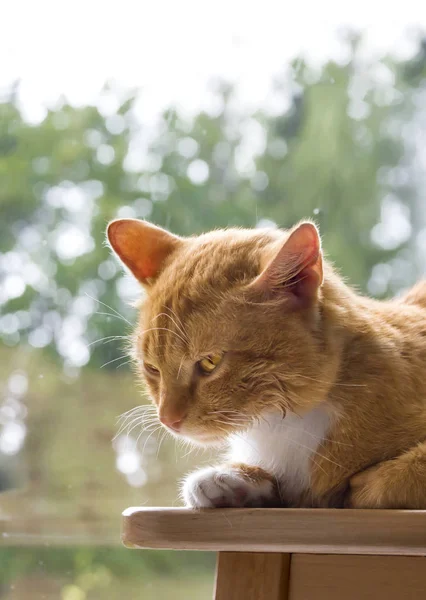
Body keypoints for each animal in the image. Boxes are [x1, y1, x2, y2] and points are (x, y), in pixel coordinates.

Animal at [107, 218, 426, 508]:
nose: (167, 419)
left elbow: (386, 479)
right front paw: (233, 481)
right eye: (152, 368)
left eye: (210, 362)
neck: (282, 422)